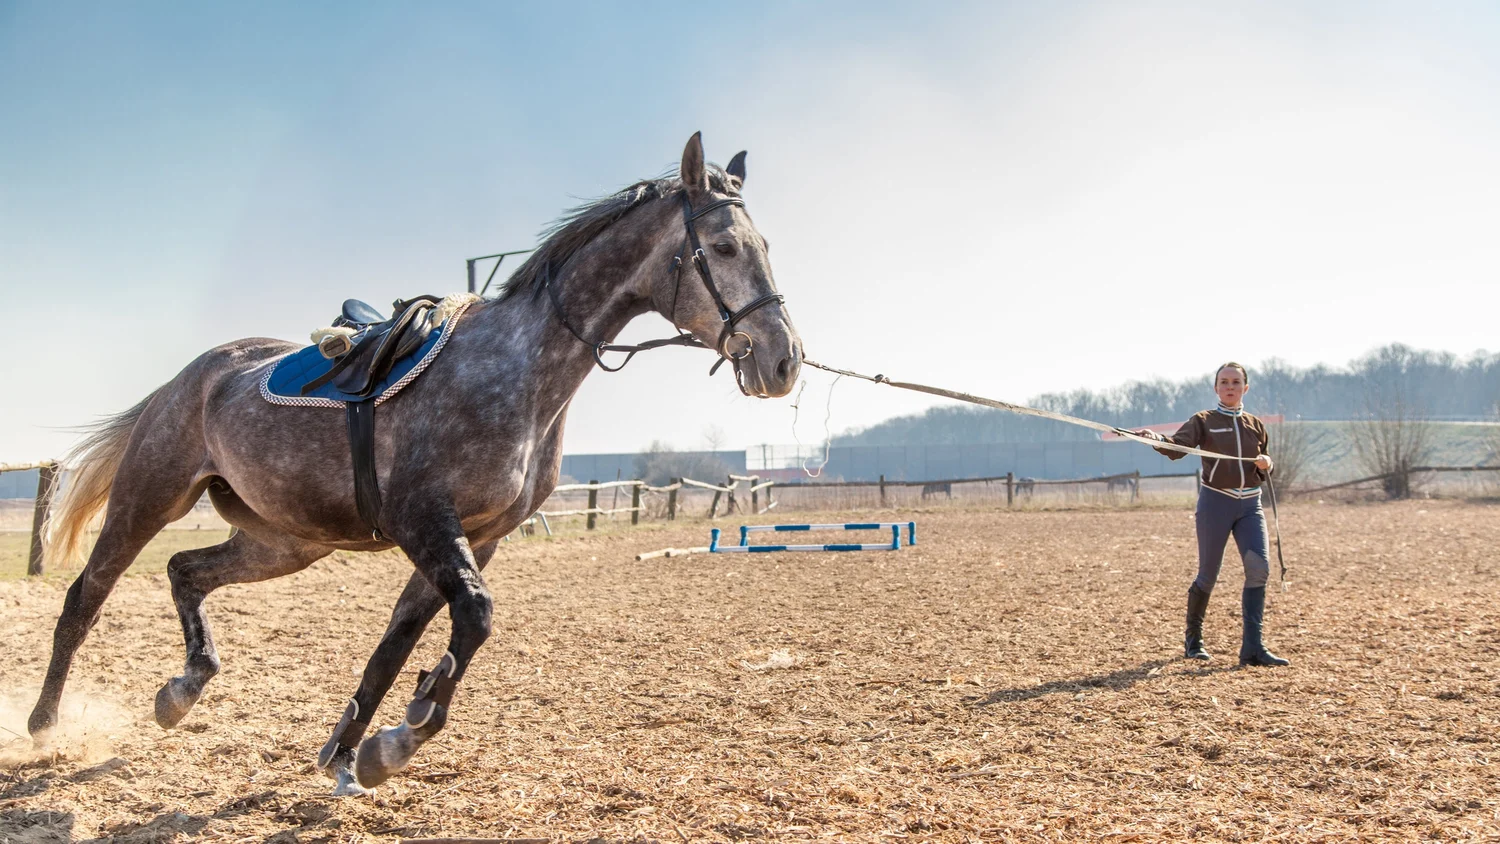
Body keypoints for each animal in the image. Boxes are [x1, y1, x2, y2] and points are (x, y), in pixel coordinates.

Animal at [29, 133, 801, 795]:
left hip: (285, 542)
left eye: (767, 245)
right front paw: (401, 737)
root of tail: (191, 376)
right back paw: (44, 725)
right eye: (725, 246)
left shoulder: (477, 539)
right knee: (84, 599)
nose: (783, 360)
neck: (520, 370)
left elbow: (398, 643)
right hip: (148, 499)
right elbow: (474, 620)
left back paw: (183, 689)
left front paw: (352, 753)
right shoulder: (423, 520)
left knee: (185, 572)